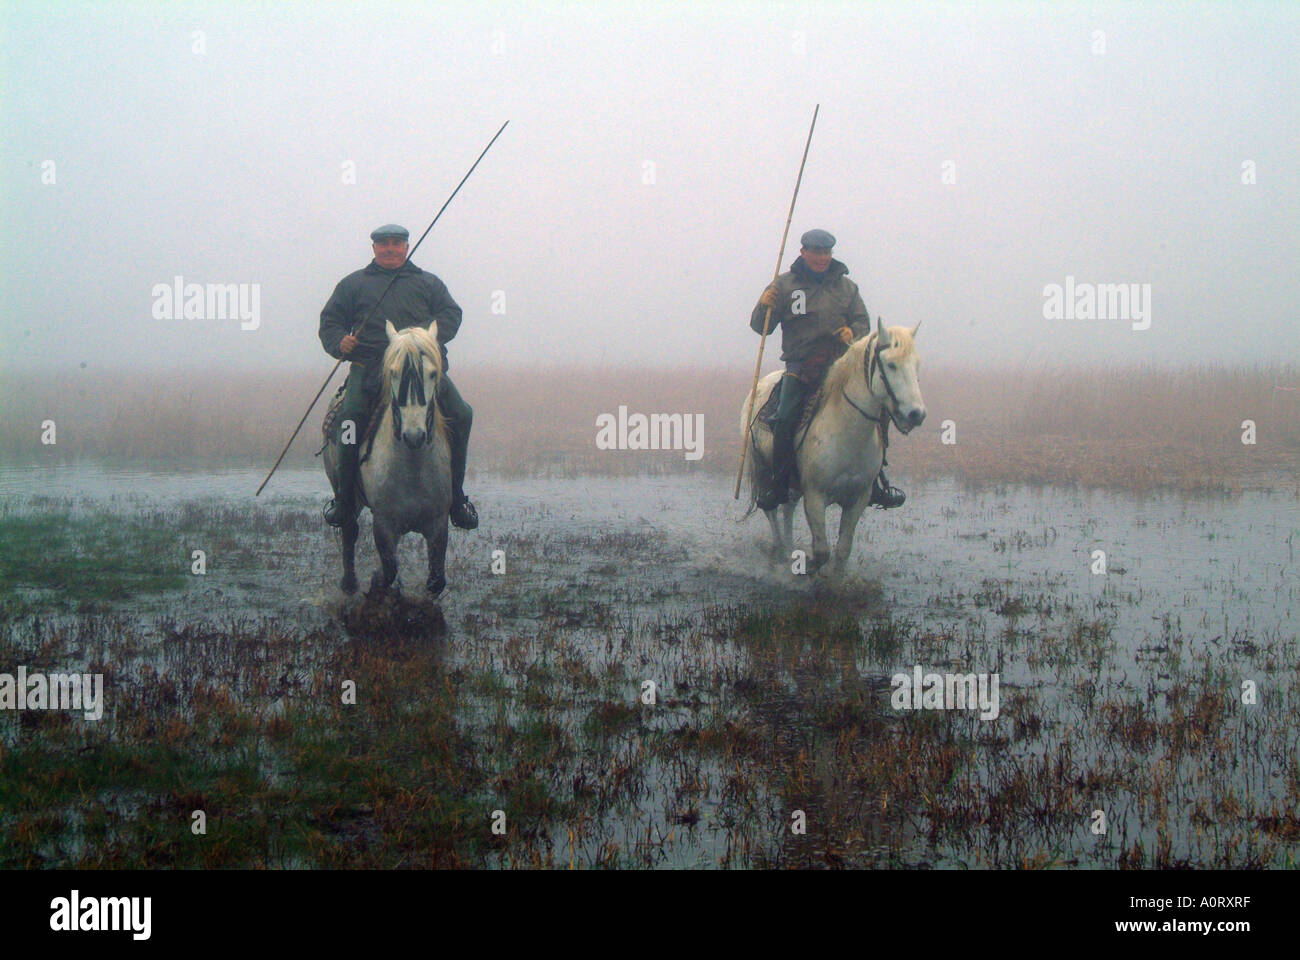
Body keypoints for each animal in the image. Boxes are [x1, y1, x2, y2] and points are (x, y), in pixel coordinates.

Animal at [323, 320, 452, 590]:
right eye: (393, 372)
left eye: (433, 374)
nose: (413, 436)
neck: (413, 470)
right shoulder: (384, 525)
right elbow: (389, 571)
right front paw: (377, 584)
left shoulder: (438, 524)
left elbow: (436, 581)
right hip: (343, 490)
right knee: (349, 529)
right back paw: (349, 583)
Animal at [743, 320, 925, 574]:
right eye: (891, 365)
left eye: (916, 364)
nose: (916, 414)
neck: (847, 432)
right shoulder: (815, 497)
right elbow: (821, 552)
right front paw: (808, 569)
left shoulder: (858, 499)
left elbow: (842, 552)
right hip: (763, 470)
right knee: (771, 509)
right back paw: (779, 550)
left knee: (788, 509)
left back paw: (789, 548)